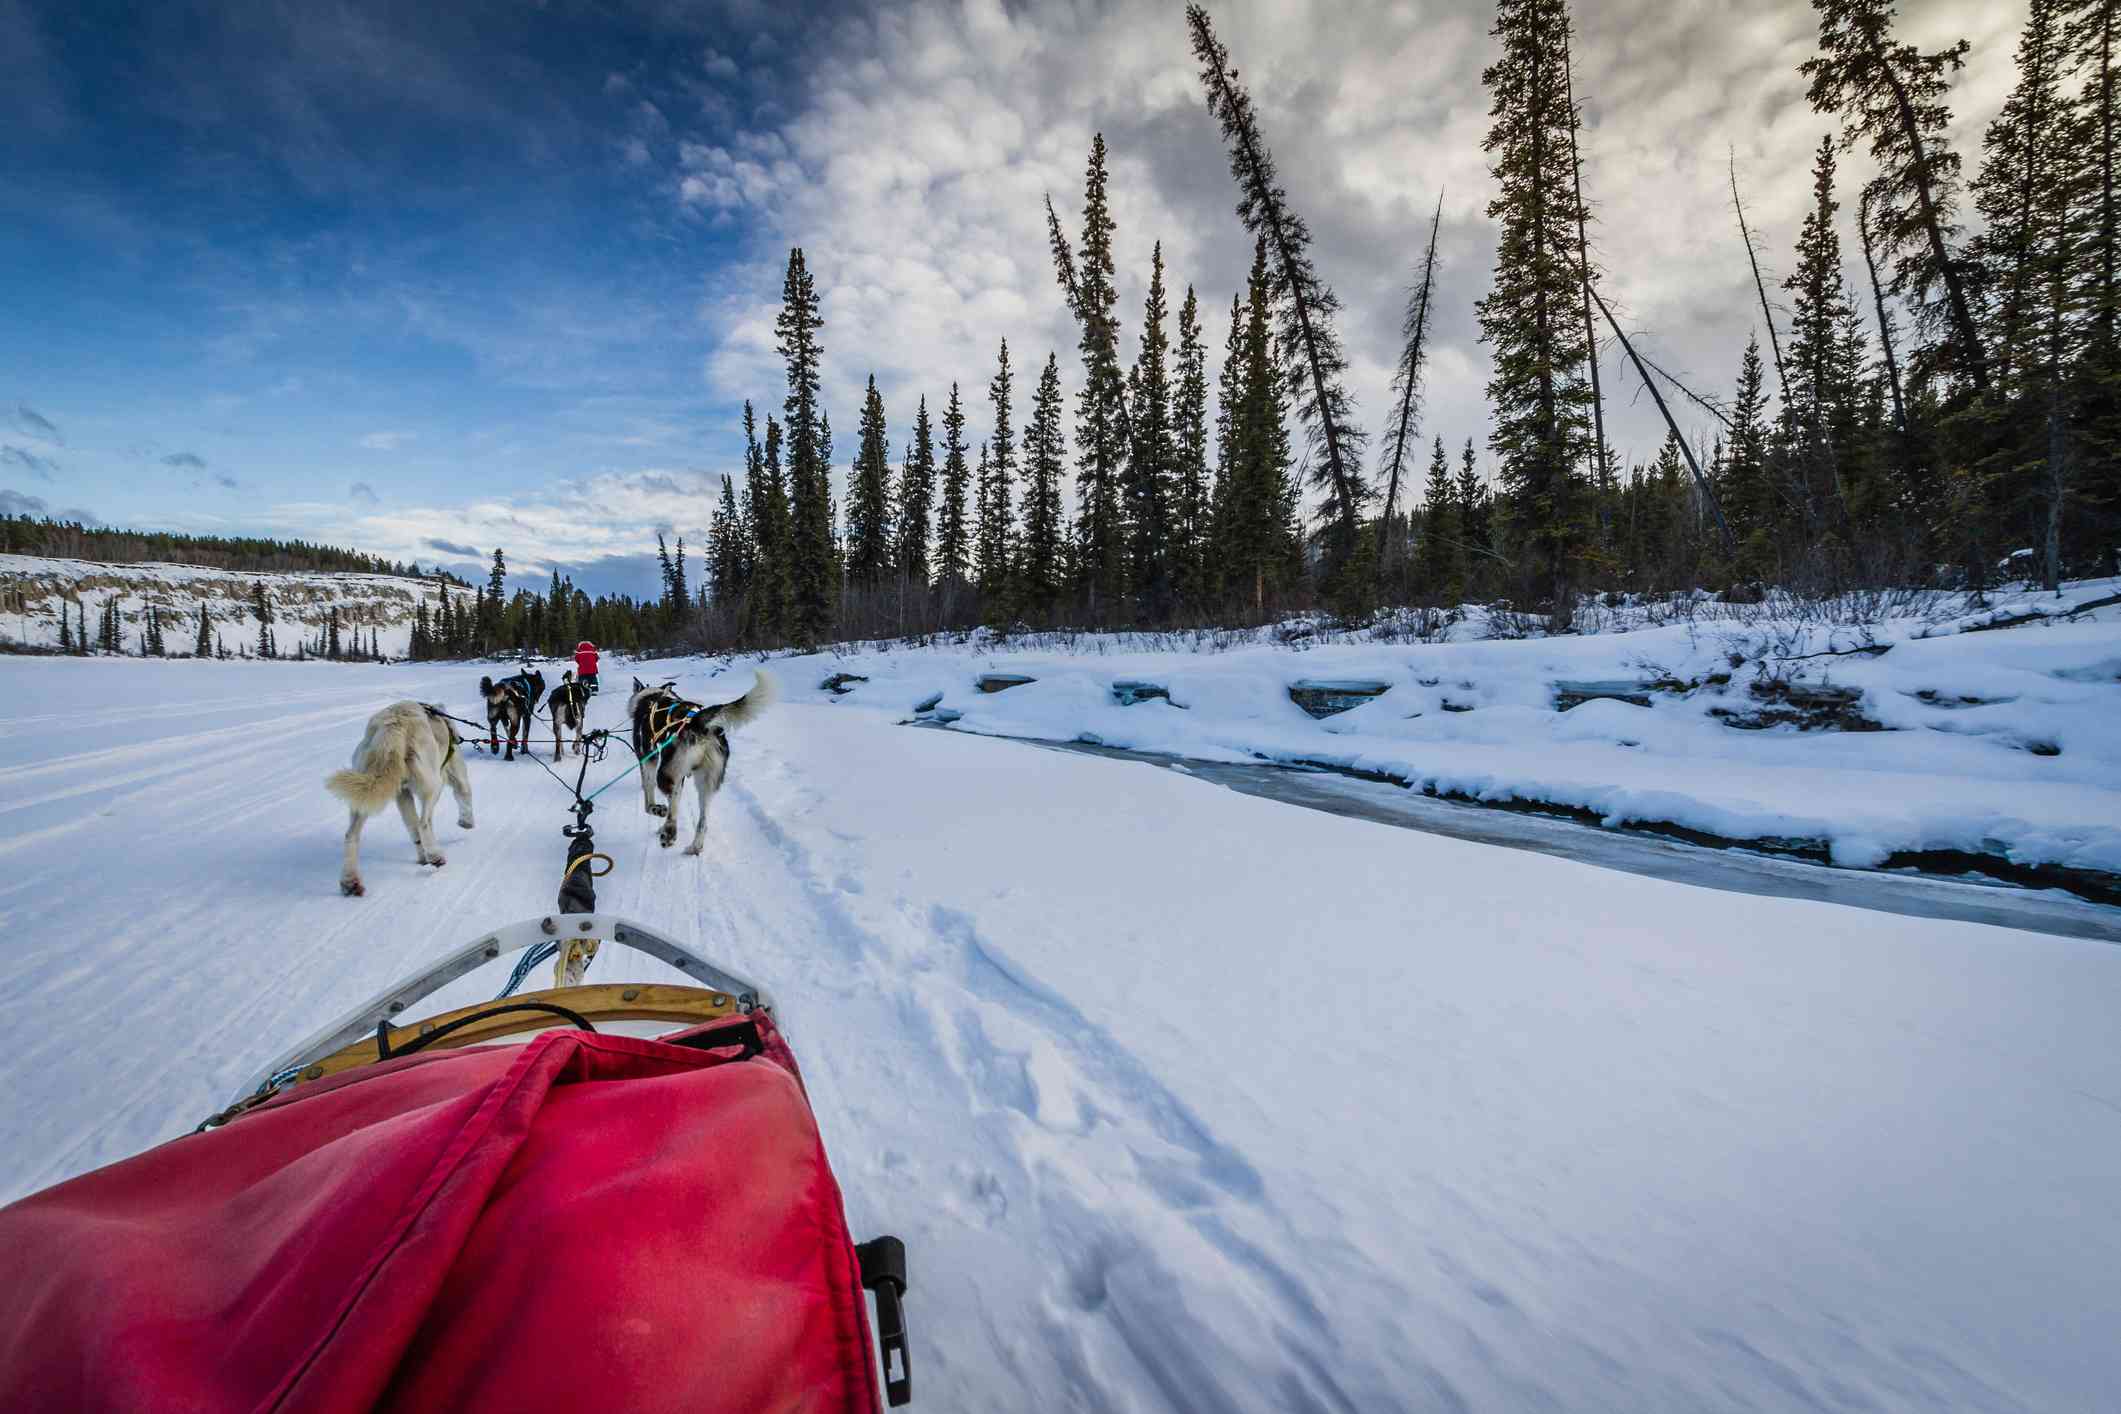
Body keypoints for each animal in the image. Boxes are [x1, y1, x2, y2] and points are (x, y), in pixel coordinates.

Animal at [322, 703, 477, 894]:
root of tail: (395, 725)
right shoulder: (456, 775)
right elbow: (464, 795)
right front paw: (466, 822)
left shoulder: (403, 795)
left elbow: (412, 827)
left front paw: (422, 857)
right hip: (433, 785)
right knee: (423, 822)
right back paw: (435, 855)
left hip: (364, 796)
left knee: (352, 835)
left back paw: (350, 881)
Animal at [627, 674, 780, 856]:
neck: (651, 697)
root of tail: (701, 724)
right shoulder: (680, 777)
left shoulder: (648, 758)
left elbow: (649, 799)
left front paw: (656, 810)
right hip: (705, 784)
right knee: (702, 823)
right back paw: (694, 846)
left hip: (665, 775)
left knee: (673, 809)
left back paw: (669, 832)